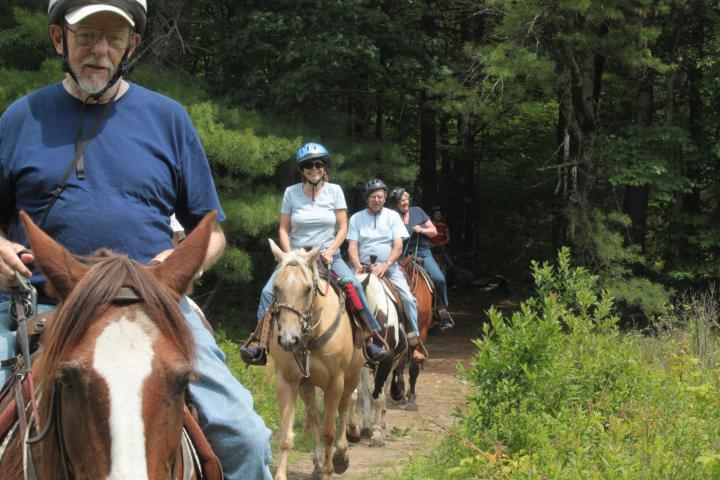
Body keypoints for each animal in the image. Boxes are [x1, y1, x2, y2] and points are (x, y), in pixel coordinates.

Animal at [267, 240, 365, 480]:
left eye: (307, 289)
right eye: (276, 287)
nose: (288, 340)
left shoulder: (335, 383)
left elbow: (328, 431)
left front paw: (330, 470)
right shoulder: (287, 381)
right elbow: (286, 435)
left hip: (351, 377)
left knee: (345, 407)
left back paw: (340, 455)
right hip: (307, 386)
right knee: (313, 418)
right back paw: (318, 463)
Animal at [347, 271, 407, 447]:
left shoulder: (387, 361)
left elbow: (379, 397)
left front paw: (377, 435)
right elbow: (355, 395)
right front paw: (353, 431)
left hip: (392, 363)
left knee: (383, 387)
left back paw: (380, 421)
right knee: (368, 392)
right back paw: (367, 426)